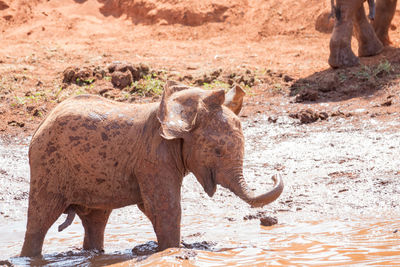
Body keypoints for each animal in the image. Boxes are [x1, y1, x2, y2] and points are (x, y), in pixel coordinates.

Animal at [21, 81, 284, 258]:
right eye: (217, 151)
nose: (274, 172)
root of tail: (42, 123)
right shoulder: (154, 157)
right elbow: (165, 209)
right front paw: (173, 251)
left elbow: (151, 208)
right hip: (48, 164)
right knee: (41, 218)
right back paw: (29, 257)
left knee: (96, 220)